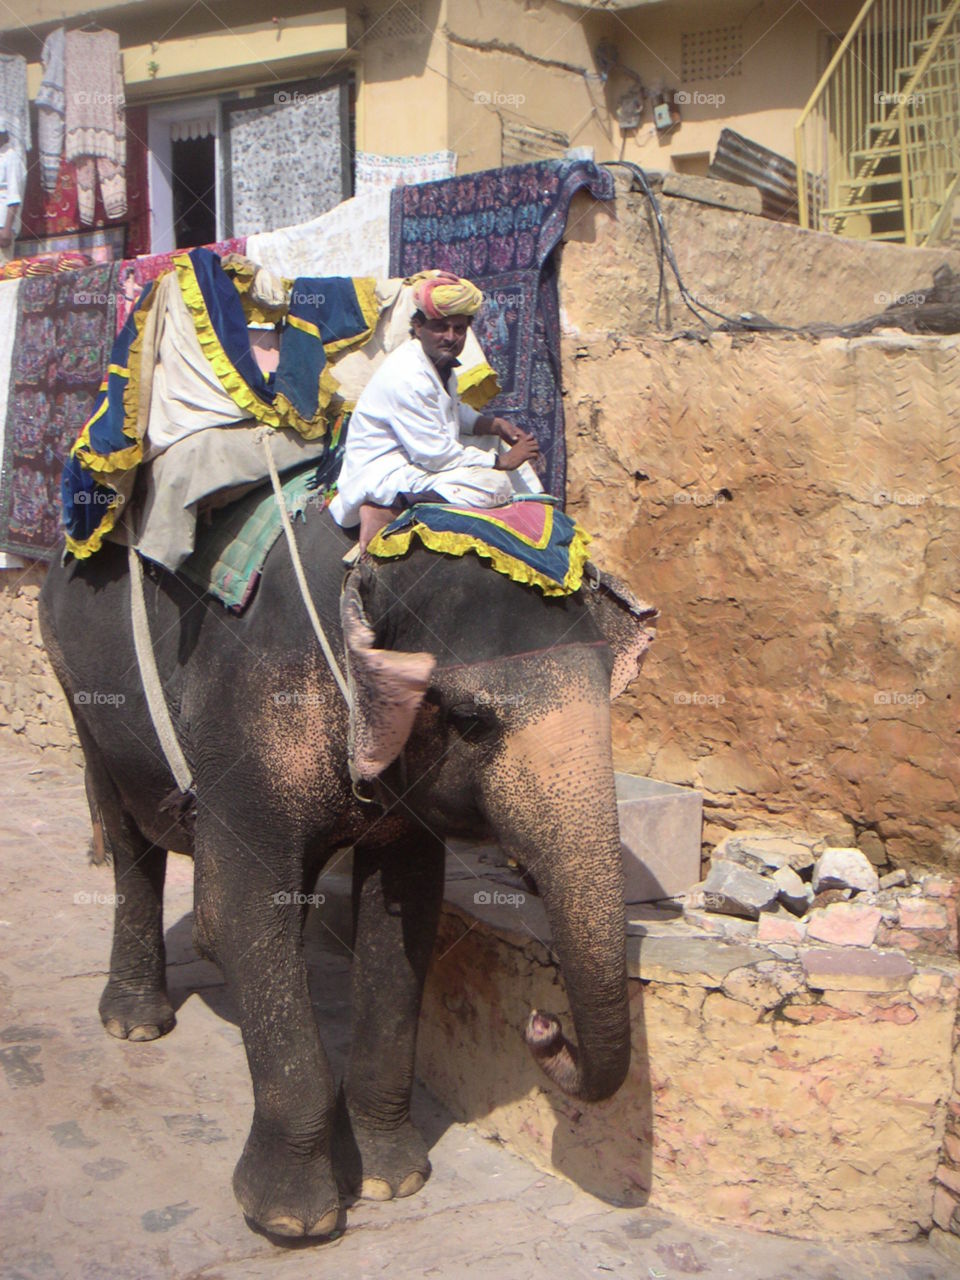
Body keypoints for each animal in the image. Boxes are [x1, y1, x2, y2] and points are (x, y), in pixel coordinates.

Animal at [39, 508, 656, 1240]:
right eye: (471, 720)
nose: (544, 1025)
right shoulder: (246, 722)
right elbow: (237, 916)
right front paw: (293, 1222)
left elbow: (404, 926)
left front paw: (394, 1181)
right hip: (78, 687)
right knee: (128, 834)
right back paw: (135, 1025)